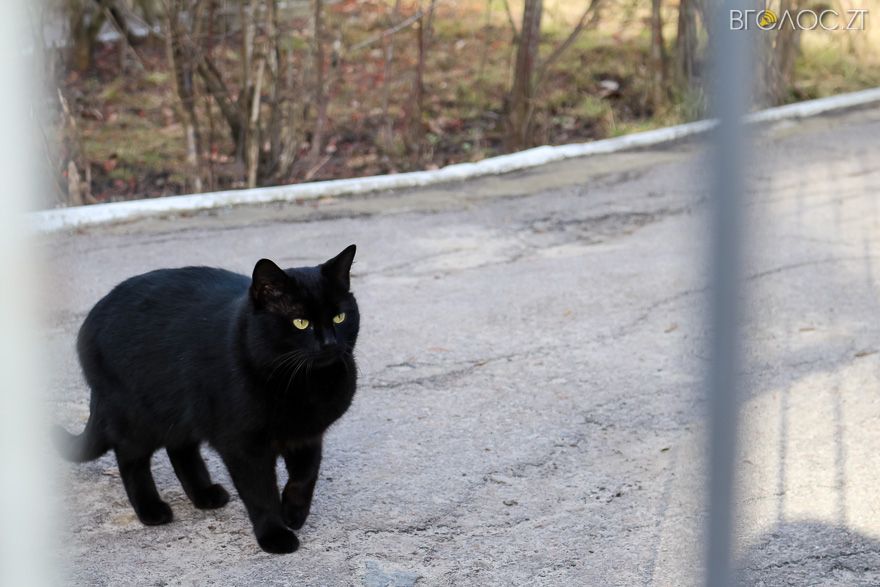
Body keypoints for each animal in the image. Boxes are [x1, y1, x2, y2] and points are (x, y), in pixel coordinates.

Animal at [54, 245, 359, 554]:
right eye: (300, 322)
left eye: (339, 318)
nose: (330, 344)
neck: (303, 385)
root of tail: (94, 313)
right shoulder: (243, 445)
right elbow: (260, 493)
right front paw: (275, 534)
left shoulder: (308, 435)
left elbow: (305, 477)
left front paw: (294, 513)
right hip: (136, 415)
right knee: (131, 459)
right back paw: (151, 509)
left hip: (181, 410)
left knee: (180, 449)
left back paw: (204, 495)